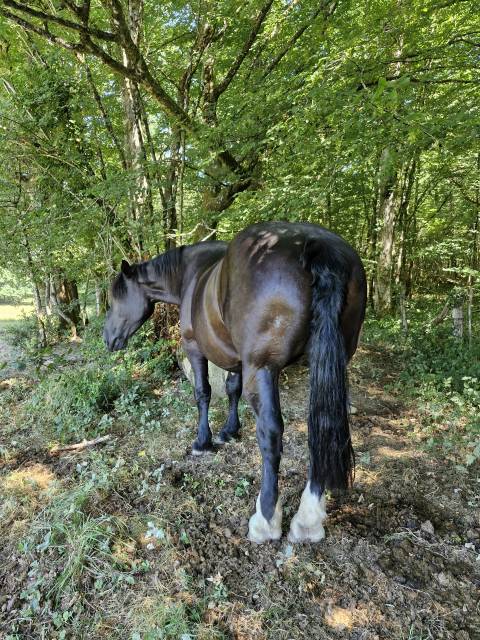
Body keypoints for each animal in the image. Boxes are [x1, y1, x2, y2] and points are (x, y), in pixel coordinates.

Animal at [103, 221, 367, 543]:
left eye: (116, 298)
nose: (107, 337)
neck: (190, 274)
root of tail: (317, 244)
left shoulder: (195, 349)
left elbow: (203, 393)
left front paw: (203, 441)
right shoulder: (237, 360)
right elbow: (232, 390)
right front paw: (230, 430)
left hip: (263, 368)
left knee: (271, 433)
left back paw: (266, 518)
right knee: (321, 425)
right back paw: (309, 517)